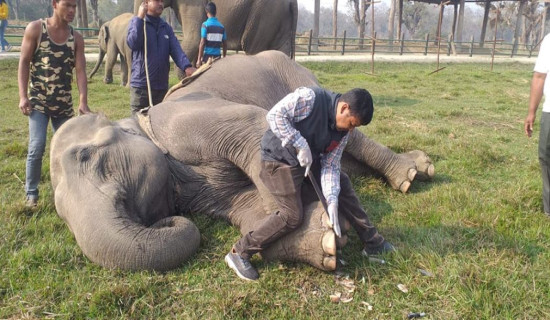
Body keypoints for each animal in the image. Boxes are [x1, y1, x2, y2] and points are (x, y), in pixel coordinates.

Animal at [49, 51, 434, 272]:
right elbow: (243, 205)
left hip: (299, 77)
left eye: (86, 156)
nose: (166, 221)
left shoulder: (183, 120)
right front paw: (325, 241)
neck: (138, 123)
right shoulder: (199, 187)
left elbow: (255, 123)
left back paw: (414, 172)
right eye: (60, 215)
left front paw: (326, 213)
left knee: (352, 137)